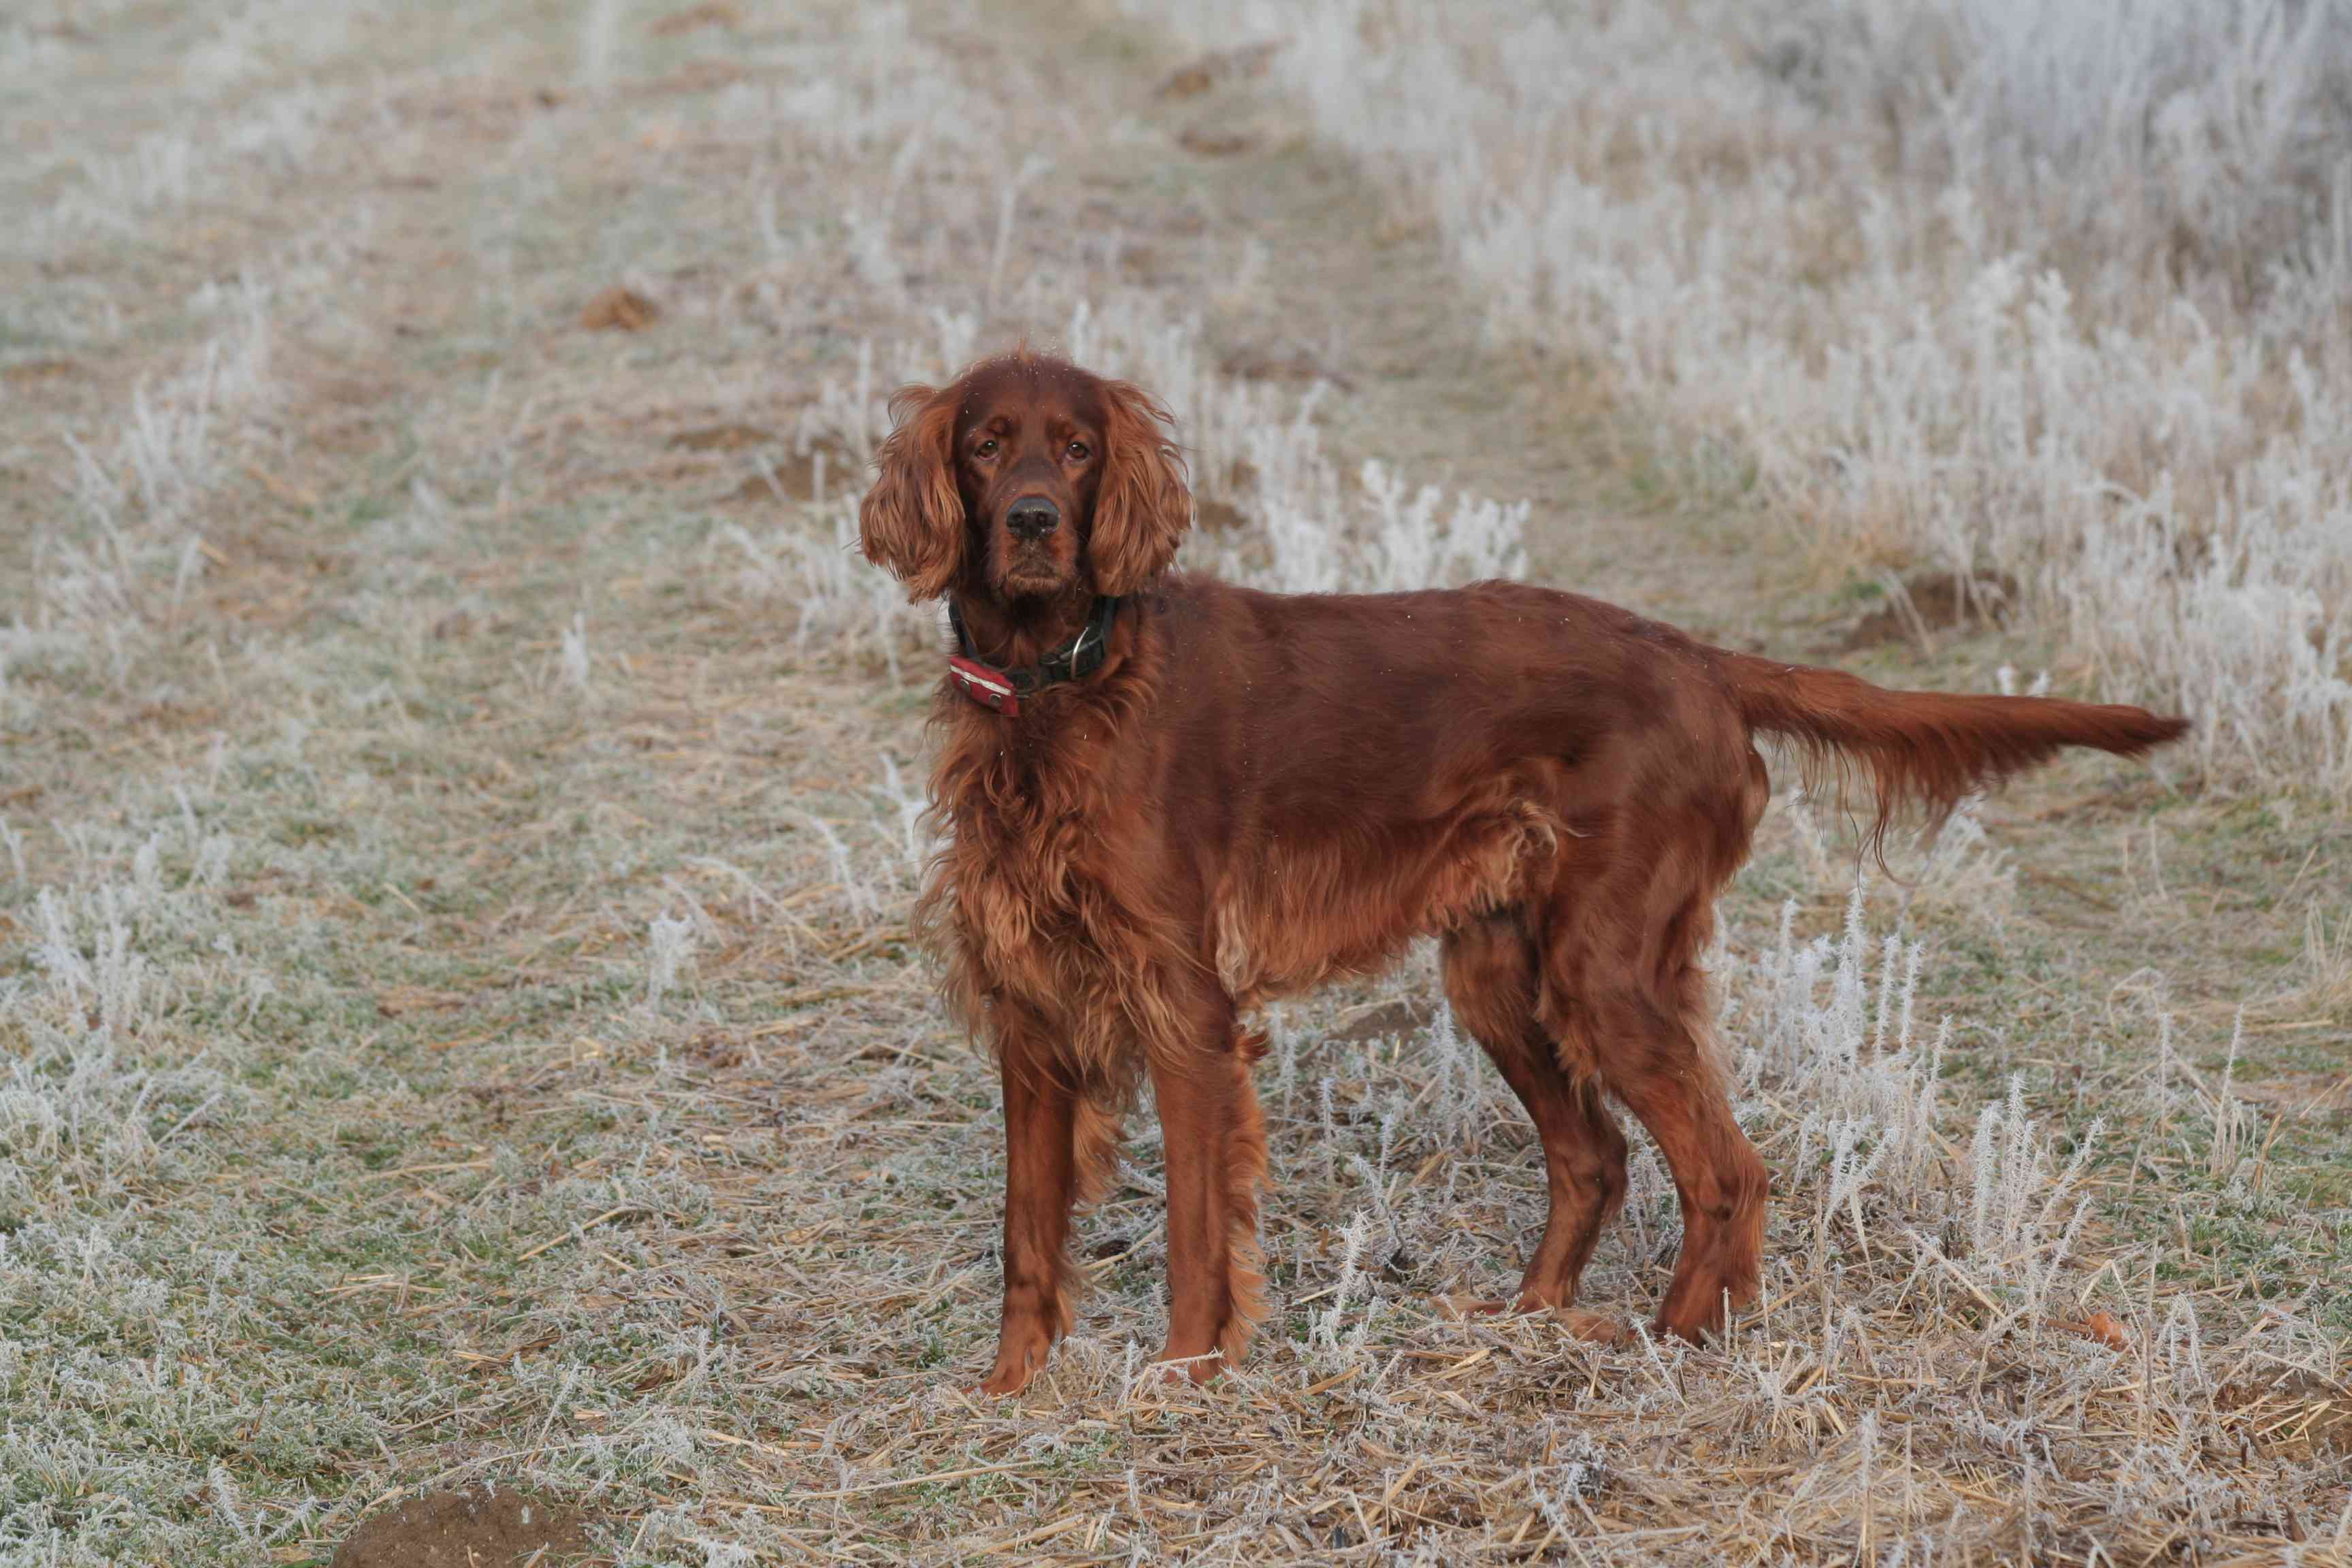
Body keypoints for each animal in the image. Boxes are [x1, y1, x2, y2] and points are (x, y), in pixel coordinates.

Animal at [860, 350, 2183, 1391]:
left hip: (1602, 966)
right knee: (1593, 1155)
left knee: (1727, 1166)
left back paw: (1675, 1341)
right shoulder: (1030, 1007)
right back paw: (1533, 1316)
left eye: (1079, 447)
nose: (1035, 520)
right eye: (987, 444)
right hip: (1501, 968)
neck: (1060, 683)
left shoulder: (1184, 1004)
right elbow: (1025, 1231)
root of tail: (1699, 660)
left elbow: (1195, 1224)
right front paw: (1009, 1391)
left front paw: (1181, 1380)